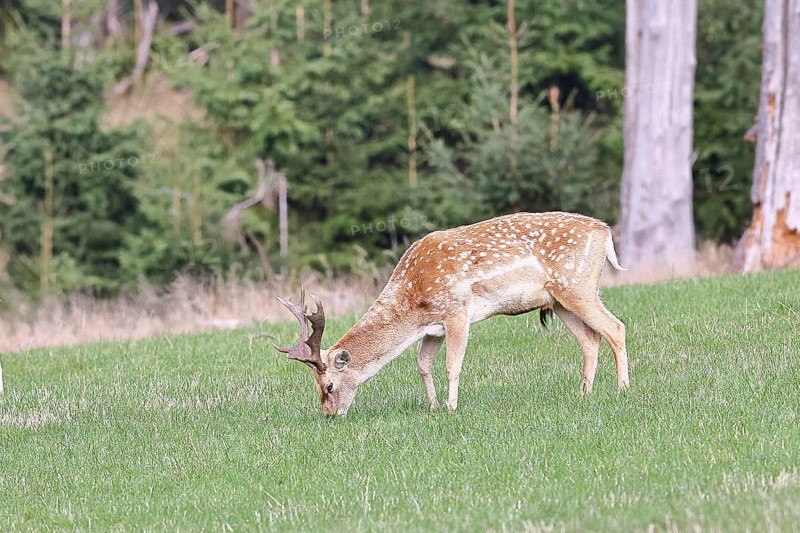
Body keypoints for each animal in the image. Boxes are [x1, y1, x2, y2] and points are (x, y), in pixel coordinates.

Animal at [274, 211, 629, 417]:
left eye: (329, 386)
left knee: (615, 327)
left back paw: (623, 389)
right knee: (590, 337)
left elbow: (452, 364)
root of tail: (605, 232)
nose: (329, 414)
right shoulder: (434, 328)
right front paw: (432, 406)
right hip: (557, 300)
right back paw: (583, 393)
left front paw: (451, 406)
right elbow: (422, 364)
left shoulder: (457, 311)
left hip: (577, 284)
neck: (413, 301)